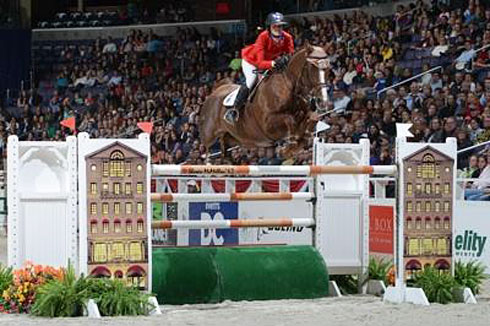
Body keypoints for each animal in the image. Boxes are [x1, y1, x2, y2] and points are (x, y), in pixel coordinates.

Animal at [197, 43, 332, 158]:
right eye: (312, 67)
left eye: (328, 68)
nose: (323, 101)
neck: (288, 86)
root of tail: (214, 91)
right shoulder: (268, 123)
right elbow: (290, 120)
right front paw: (287, 147)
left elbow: (313, 118)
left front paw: (291, 147)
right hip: (209, 134)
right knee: (207, 149)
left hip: (238, 137)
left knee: (225, 146)